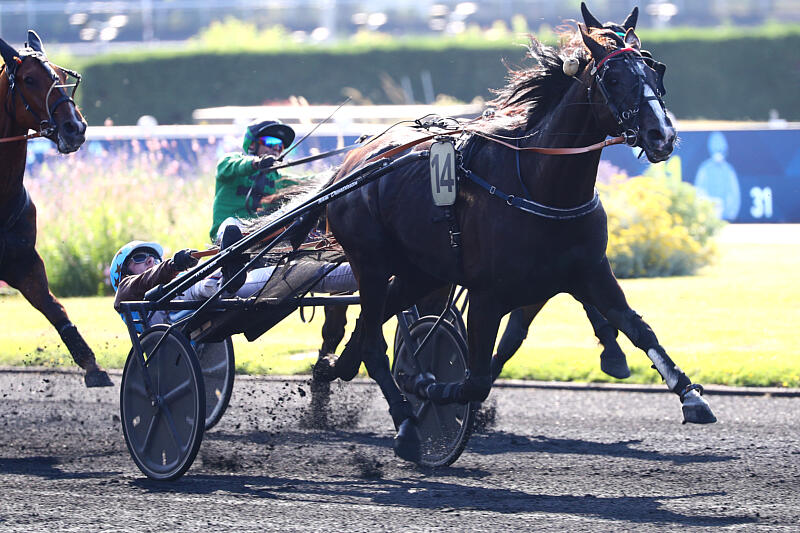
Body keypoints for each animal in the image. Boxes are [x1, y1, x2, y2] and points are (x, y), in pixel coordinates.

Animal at [0, 31, 112, 387]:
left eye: (62, 77)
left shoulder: (22, 258)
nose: (75, 127)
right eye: (29, 79)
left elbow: (53, 307)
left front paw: (92, 365)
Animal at [316, 5, 716, 462]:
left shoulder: (589, 271)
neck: (541, 185)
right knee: (374, 340)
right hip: (371, 262)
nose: (661, 135)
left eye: (654, 69)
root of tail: (351, 163)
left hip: (420, 271)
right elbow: (474, 380)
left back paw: (337, 366)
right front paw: (428, 386)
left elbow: (638, 328)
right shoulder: (487, 294)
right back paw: (405, 425)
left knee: (369, 326)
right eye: (613, 78)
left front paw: (691, 395)